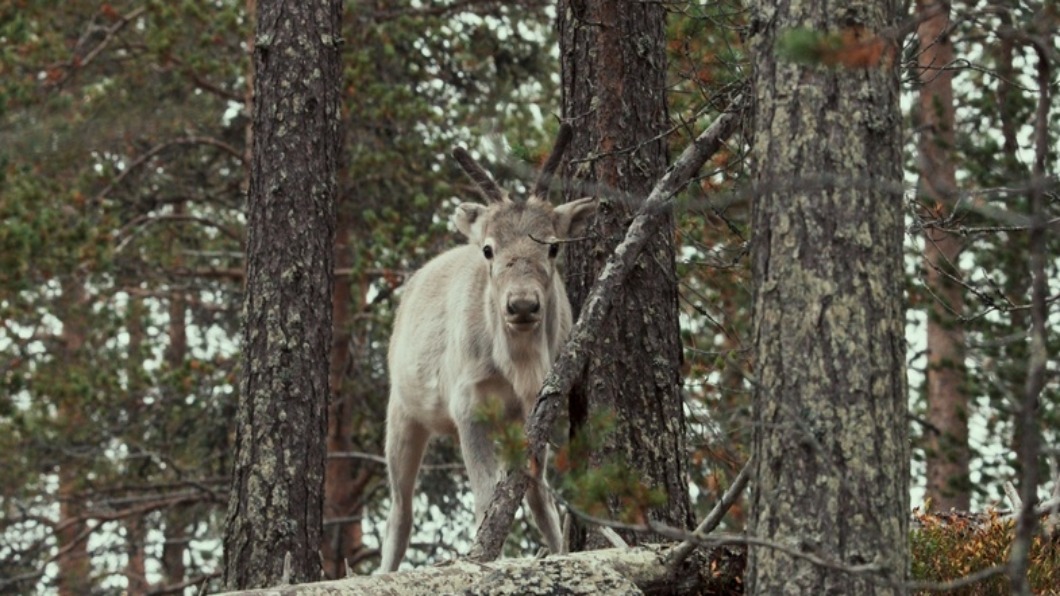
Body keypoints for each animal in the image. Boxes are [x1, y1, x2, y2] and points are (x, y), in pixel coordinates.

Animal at [379, 124, 597, 572]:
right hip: (401, 410)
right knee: (400, 510)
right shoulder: (467, 404)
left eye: (553, 246)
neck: (518, 368)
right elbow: (485, 498)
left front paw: (558, 550)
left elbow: (537, 492)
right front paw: (483, 555)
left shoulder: (540, 407)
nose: (523, 305)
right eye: (488, 249)